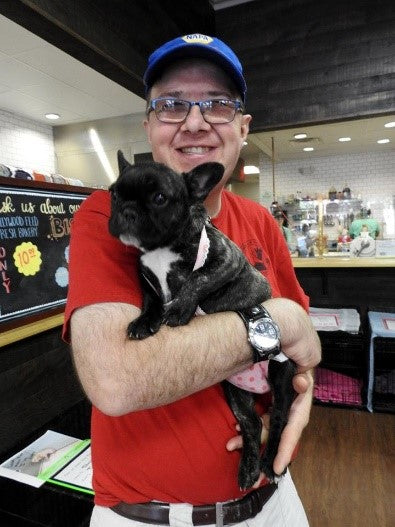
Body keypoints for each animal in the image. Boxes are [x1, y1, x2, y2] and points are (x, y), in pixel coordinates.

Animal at [108, 152, 296, 490]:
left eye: (159, 198)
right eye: (114, 194)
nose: (127, 211)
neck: (159, 248)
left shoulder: (227, 260)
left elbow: (198, 279)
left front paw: (179, 309)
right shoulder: (146, 279)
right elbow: (151, 300)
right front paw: (144, 322)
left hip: (282, 375)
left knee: (278, 419)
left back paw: (270, 462)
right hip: (234, 392)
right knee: (250, 423)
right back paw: (248, 468)